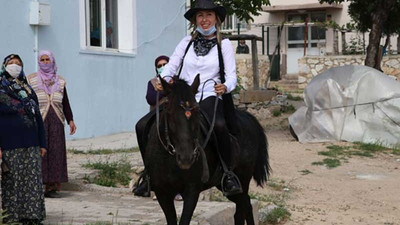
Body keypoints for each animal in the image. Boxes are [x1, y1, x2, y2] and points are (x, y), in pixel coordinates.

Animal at [144, 76, 268, 225]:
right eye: (170, 113)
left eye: (197, 113)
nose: (186, 158)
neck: (169, 160)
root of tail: (247, 117)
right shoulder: (162, 192)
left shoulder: (191, 190)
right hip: (222, 184)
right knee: (244, 205)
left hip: (243, 178)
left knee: (243, 207)